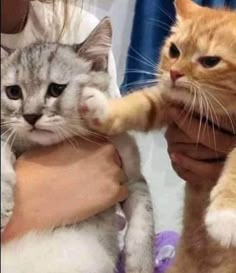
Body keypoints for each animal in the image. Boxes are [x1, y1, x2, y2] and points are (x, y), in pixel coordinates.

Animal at [0, 18, 155, 270]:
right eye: (13, 92)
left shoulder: (133, 177)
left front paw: (141, 264)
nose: (30, 116)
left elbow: (144, 220)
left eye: (56, 89)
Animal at [80, 0, 235, 270]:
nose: (174, 73)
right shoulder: (166, 99)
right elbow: (139, 104)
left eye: (210, 61)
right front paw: (101, 106)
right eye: (174, 50)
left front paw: (225, 215)